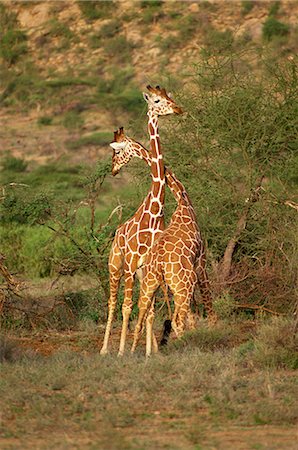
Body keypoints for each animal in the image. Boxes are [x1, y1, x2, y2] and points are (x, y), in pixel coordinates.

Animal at [100, 86, 182, 356]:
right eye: (157, 100)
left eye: (169, 97)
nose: (178, 109)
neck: (154, 213)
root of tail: (116, 233)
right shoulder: (130, 264)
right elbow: (128, 307)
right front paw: (123, 351)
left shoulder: (149, 266)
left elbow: (150, 311)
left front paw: (147, 352)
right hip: (115, 267)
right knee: (113, 303)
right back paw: (105, 349)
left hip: (136, 272)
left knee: (143, 306)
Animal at [109, 125, 217, 356]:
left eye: (118, 151)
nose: (113, 169)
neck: (183, 202)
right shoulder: (201, 263)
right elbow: (207, 304)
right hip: (118, 268)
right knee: (117, 304)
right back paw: (110, 350)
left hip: (151, 277)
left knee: (150, 310)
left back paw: (149, 349)